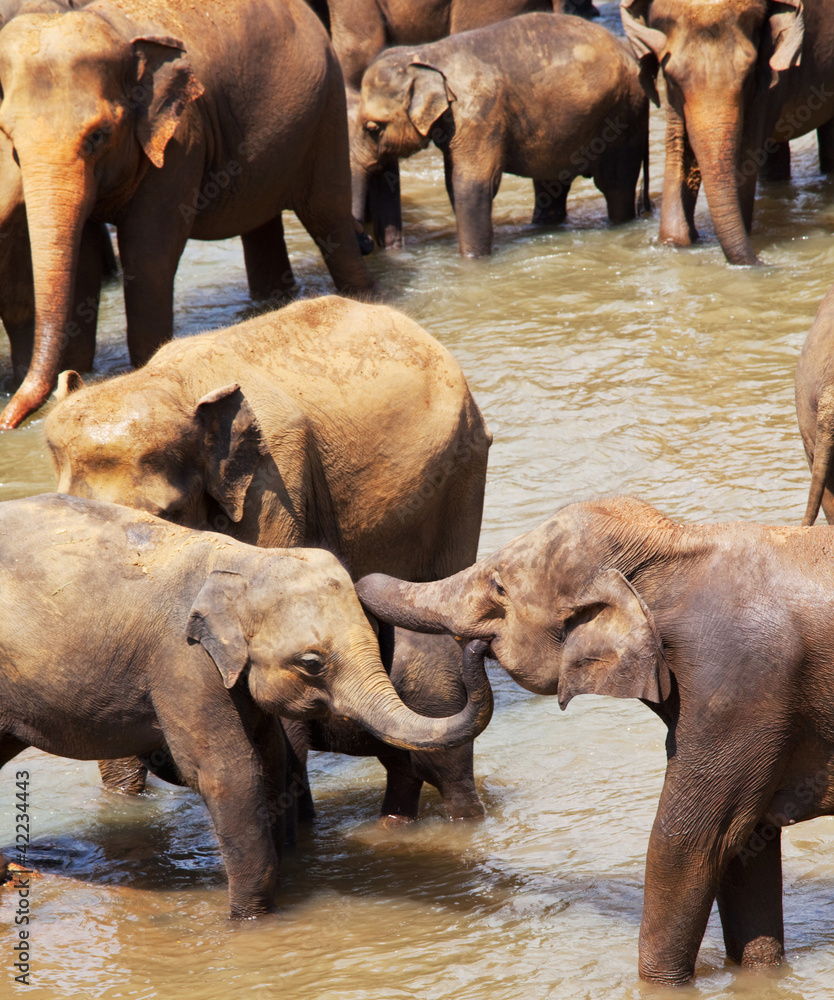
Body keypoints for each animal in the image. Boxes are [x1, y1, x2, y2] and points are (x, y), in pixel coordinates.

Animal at [0, 0, 375, 429]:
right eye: (10, 142)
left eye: (98, 135)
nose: (8, 422)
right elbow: (85, 263)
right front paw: (78, 373)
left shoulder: (182, 140)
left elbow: (147, 255)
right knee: (262, 226)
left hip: (326, 106)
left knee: (328, 218)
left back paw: (364, 302)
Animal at [0, 493, 492, 918]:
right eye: (311, 663)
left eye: (375, 636)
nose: (482, 644)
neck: (243, 559)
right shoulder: (184, 661)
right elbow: (232, 773)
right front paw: (249, 921)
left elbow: (272, 759)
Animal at [351, 14, 650, 256]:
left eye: (373, 128)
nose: (367, 243)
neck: (426, 53)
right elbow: (453, 185)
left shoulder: (480, 115)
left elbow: (471, 186)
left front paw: (474, 262)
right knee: (551, 187)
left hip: (623, 115)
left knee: (615, 187)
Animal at [357, 495, 834, 984]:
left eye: (499, 588)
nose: (474, 648)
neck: (676, 543)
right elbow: (747, 842)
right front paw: (758, 974)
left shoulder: (738, 689)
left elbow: (691, 842)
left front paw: (659, 986)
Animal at [621, 0, 834, 266]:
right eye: (670, 78)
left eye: (748, 73)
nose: (763, 262)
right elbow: (678, 149)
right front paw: (676, 241)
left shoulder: (772, 75)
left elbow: (746, 152)